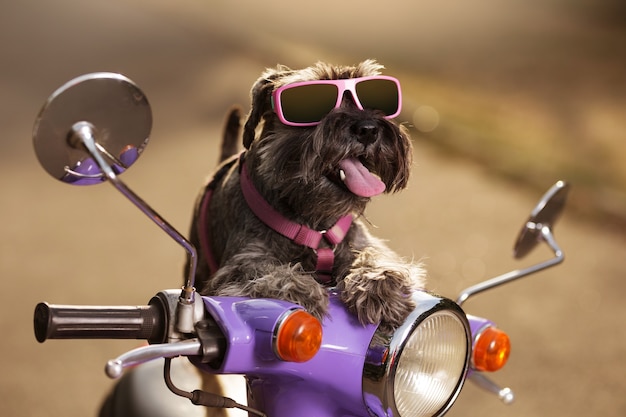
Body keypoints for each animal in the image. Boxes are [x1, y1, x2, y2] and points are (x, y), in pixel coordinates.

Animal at [186, 59, 424, 332]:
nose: (368, 129)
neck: (313, 219)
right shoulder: (239, 264)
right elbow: (261, 271)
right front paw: (300, 291)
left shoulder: (360, 239)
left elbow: (375, 254)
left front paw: (378, 283)